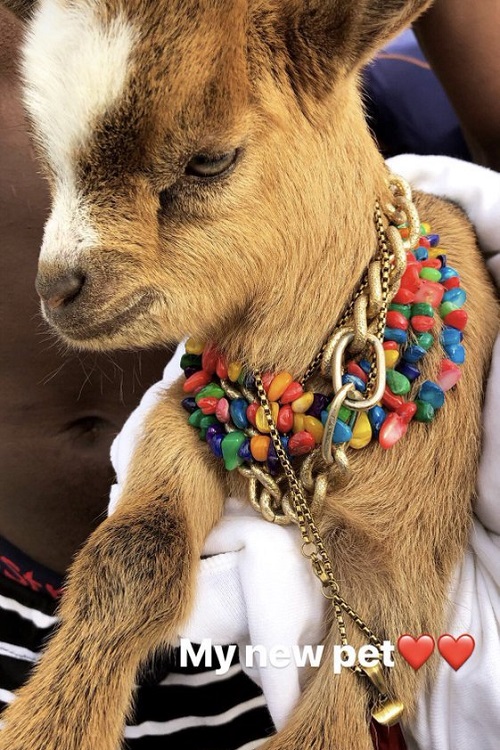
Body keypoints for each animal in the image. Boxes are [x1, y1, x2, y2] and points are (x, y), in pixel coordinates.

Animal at [0, 1, 498, 748]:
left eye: (209, 160)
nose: (57, 288)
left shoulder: (403, 539)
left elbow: (357, 686)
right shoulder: (179, 425)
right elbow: (134, 552)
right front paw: (47, 728)